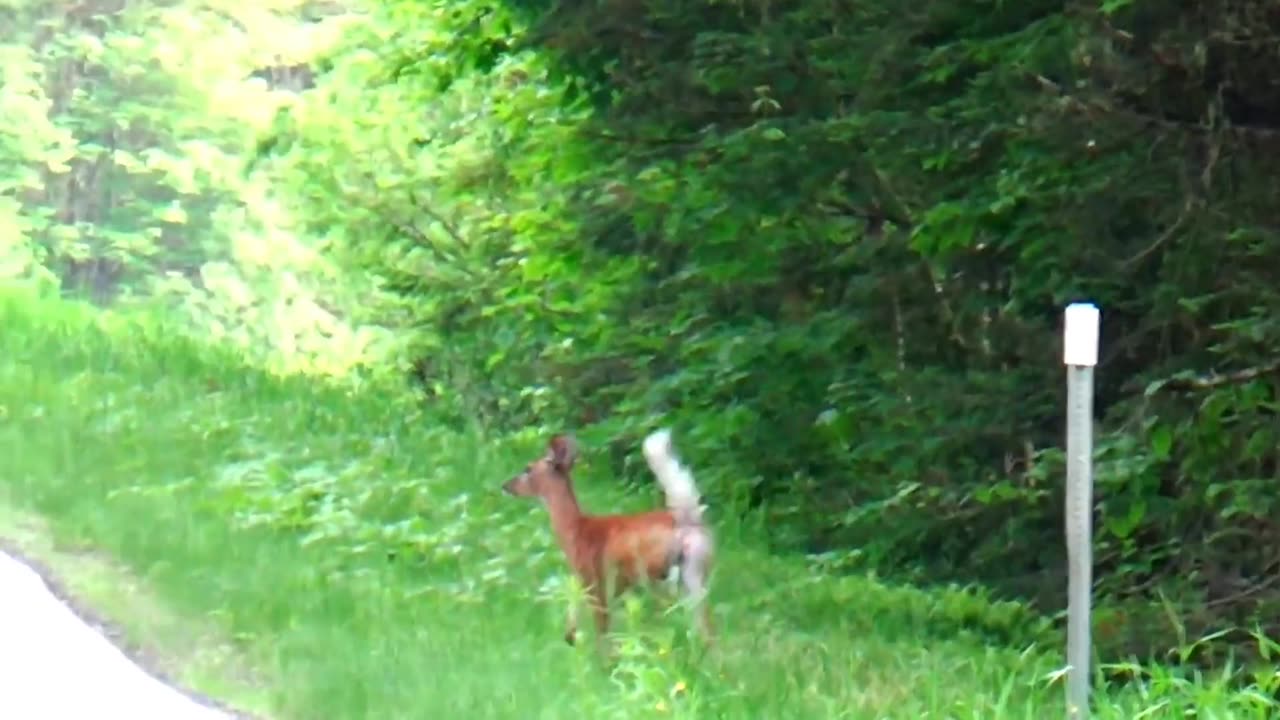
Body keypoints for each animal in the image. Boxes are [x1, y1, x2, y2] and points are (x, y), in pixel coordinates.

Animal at [499, 427, 716, 653]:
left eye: (528, 469)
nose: (505, 486)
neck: (575, 529)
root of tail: (686, 518)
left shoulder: (592, 576)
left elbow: (602, 627)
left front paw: (605, 657)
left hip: (652, 572)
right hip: (694, 570)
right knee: (705, 627)